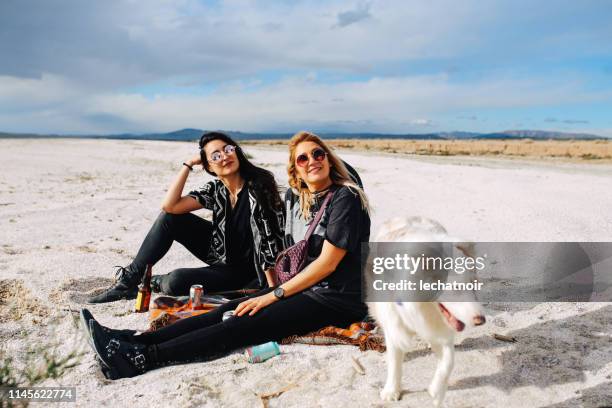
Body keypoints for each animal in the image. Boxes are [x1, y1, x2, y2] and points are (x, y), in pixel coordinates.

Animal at [368, 215, 488, 406]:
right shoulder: (394, 324)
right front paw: (391, 391)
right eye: (456, 287)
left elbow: (449, 361)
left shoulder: (442, 331)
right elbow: (394, 359)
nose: (481, 321)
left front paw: (436, 391)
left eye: (473, 284)